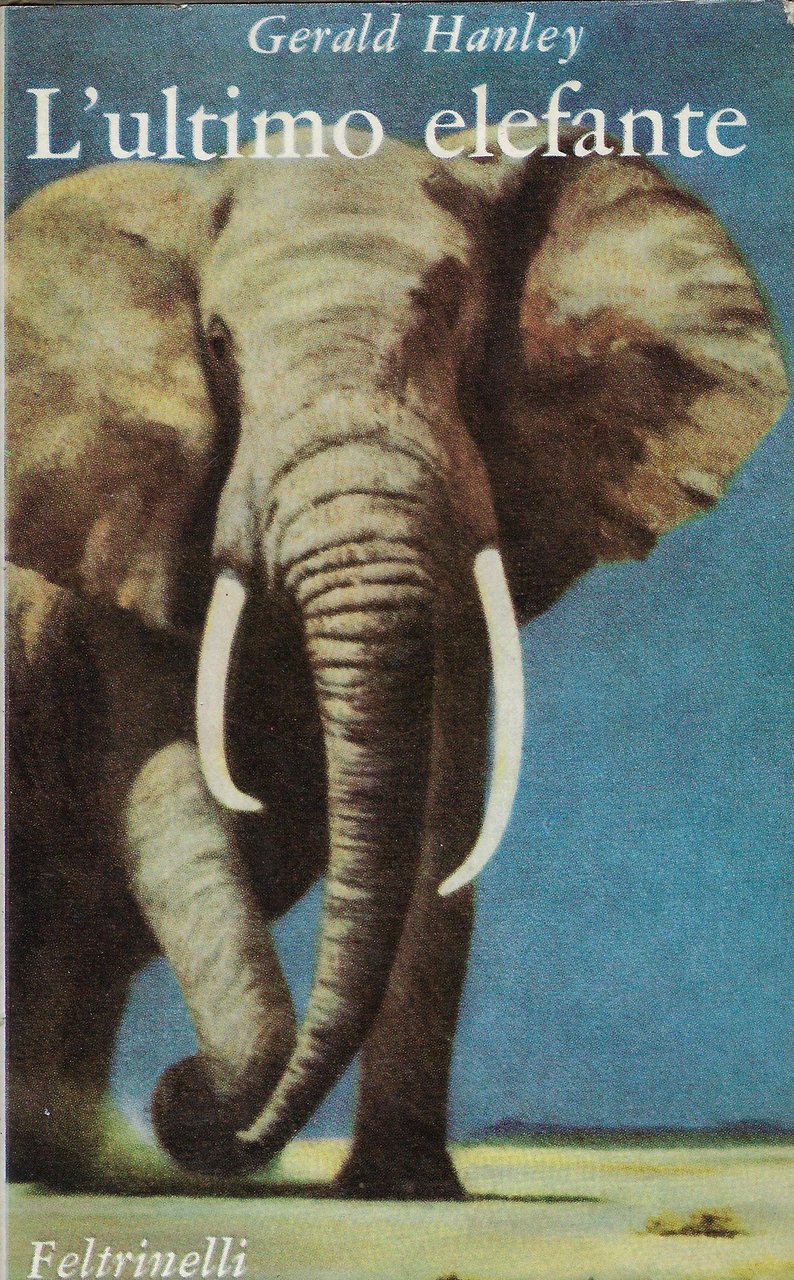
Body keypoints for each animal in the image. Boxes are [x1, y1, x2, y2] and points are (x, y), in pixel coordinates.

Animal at [6, 125, 788, 1197]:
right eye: (216, 343)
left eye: (453, 316)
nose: (176, 1094)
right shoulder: (118, 537)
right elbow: (163, 792)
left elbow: (446, 805)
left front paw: (404, 1189)